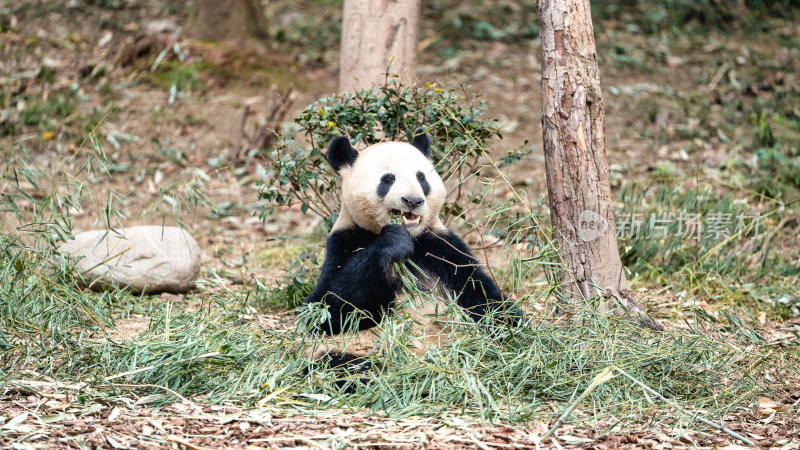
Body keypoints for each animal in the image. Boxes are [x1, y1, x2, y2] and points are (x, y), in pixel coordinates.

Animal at [302, 131, 520, 348]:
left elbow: (480, 293)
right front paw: (394, 242)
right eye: (388, 179)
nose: (413, 201)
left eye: (421, 177)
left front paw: (512, 329)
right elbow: (326, 308)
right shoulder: (344, 241)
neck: (413, 237)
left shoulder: (441, 248)